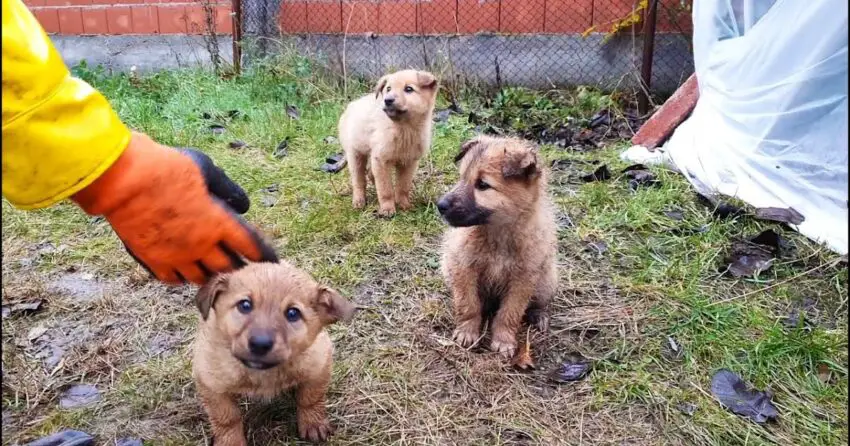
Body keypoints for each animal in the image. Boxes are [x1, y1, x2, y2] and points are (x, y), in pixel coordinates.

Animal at [190, 260, 352, 444]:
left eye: (293, 313)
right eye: (245, 305)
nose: (260, 344)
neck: (263, 373)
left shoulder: (319, 365)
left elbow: (310, 398)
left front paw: (313, 423)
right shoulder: (210, 383)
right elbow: (227, 418)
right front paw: (231, 441)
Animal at [340, 68, 440, 218]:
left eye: (409, 89)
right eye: (388, 89)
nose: (387, 100)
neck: (404, 129)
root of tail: (352, 105)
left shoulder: (409, 162)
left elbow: (403, 187)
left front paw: (404, 205)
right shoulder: (381, 159)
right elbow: (385, 188)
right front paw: (387, 209)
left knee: (370, 173)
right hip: (355, 153)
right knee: (358, 180)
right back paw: (359, 201)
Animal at [438, 135, 556, 358]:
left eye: (482, 185)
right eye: (462, 178)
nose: (440, 205)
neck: (497, 235)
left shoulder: (523, 278)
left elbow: (510, 312)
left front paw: (504, 340)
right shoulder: (462, 267)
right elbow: (469, 304)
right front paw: (467, 331)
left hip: (546, 278)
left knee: (538, 301)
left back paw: (539, 315)